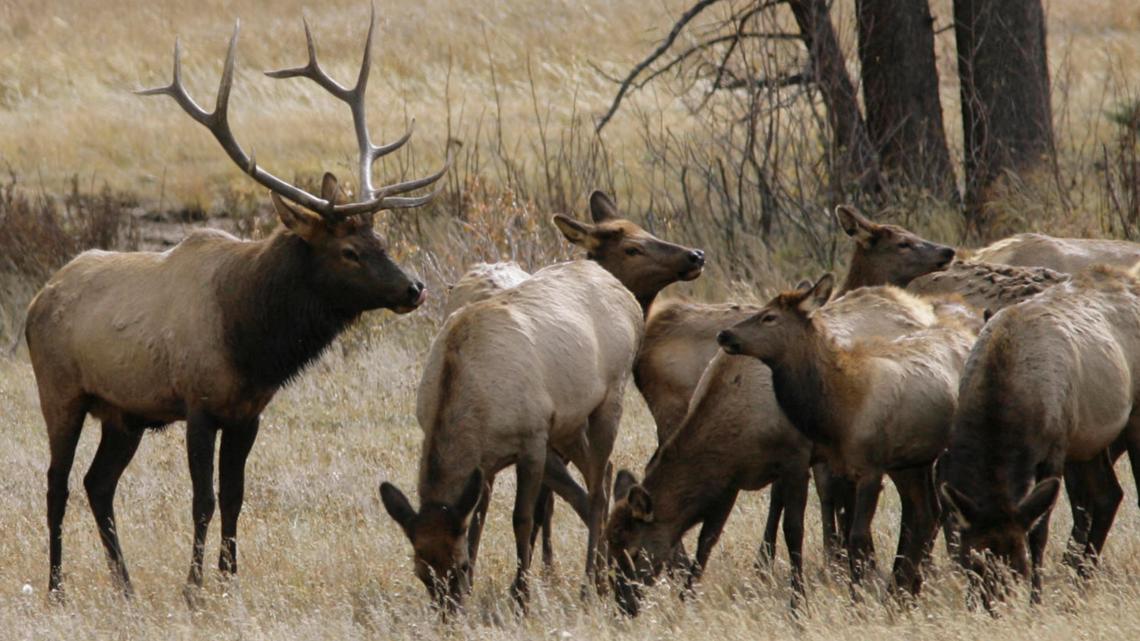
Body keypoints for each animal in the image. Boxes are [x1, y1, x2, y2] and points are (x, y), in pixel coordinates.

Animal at [26, 11, 449, 597]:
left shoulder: (249, 412)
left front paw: (230, 581)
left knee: (97, 484)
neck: (251, 340)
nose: (413, 288)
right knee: (57, 483)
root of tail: (36, 302)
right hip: (61, 391)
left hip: (124, 414)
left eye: (381, 240)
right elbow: (202, 500)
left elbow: (234, 498)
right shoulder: (199, 403)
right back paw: (57, 587)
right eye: (349, 251)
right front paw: (194, 588)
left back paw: (126, 585)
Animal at [383, 191, 702, 606]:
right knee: (597, 476)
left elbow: (521, 517)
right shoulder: (487, 462)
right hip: (569, 420)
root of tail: (616, 287)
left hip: (609, 398)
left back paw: (591, 581)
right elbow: (478, 518)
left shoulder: (533, 438)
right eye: (422, 573)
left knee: (598, 486)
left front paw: (521, 595)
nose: (450, 611)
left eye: (460, 568)